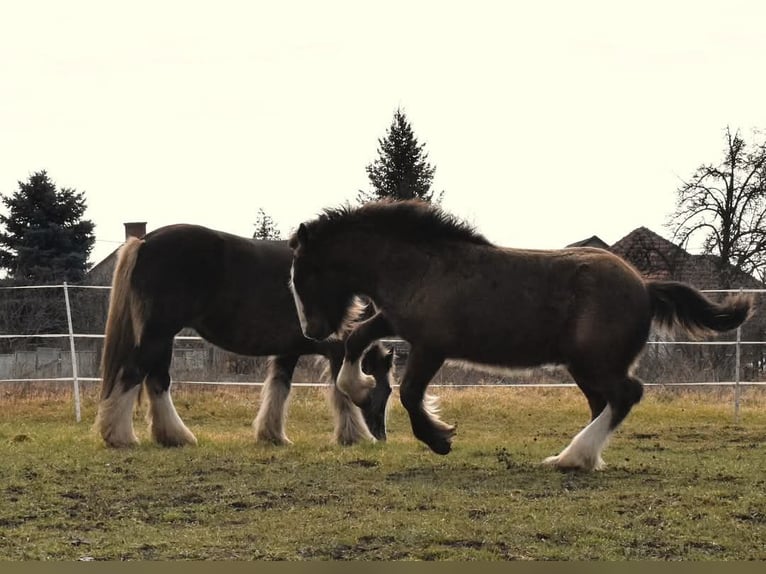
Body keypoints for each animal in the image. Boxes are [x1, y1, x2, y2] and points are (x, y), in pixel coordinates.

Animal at [96, 224, 396, 450]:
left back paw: (173, 436)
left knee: (157, 381)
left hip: (163, 336)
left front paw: (272, 435)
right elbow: (341, 391)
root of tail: (144, 242)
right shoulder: (336, 351)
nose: (381, 437)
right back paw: (121, 437)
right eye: (385, 389)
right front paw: (355, 435)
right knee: (135, 374)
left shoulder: (288, 351)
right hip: (158, 333)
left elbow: (279, 388)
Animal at [290, 201, 756, 472]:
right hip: (585, 368)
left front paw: (440, 438)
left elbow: (409, 394)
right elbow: (357, 341)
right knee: (604, 403)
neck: (419, 265)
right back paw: (583, 458)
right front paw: (362, 389)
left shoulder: (431, 345)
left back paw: (571, 458)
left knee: (626, 395)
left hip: (596, 362)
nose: (312, 332)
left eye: (306, 273)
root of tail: (644, 285)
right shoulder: (396, 323)